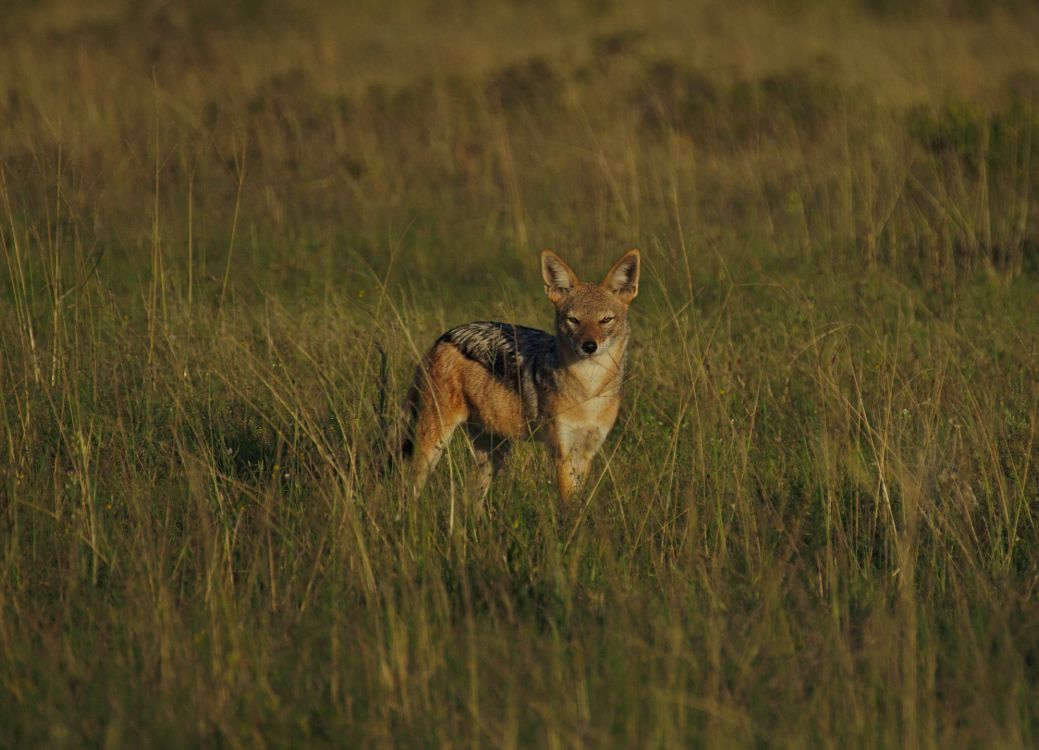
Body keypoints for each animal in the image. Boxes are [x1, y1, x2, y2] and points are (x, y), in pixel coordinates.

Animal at [397, 248, 640, 503]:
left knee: (471, 500)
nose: (589, 346)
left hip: (492, 454)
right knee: (410, 489)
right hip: (434, 443)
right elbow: (568, 504)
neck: (589, 389)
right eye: (574, 320)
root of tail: (444, 337)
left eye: (606, 320)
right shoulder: (562, 453)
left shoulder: (586, 452)